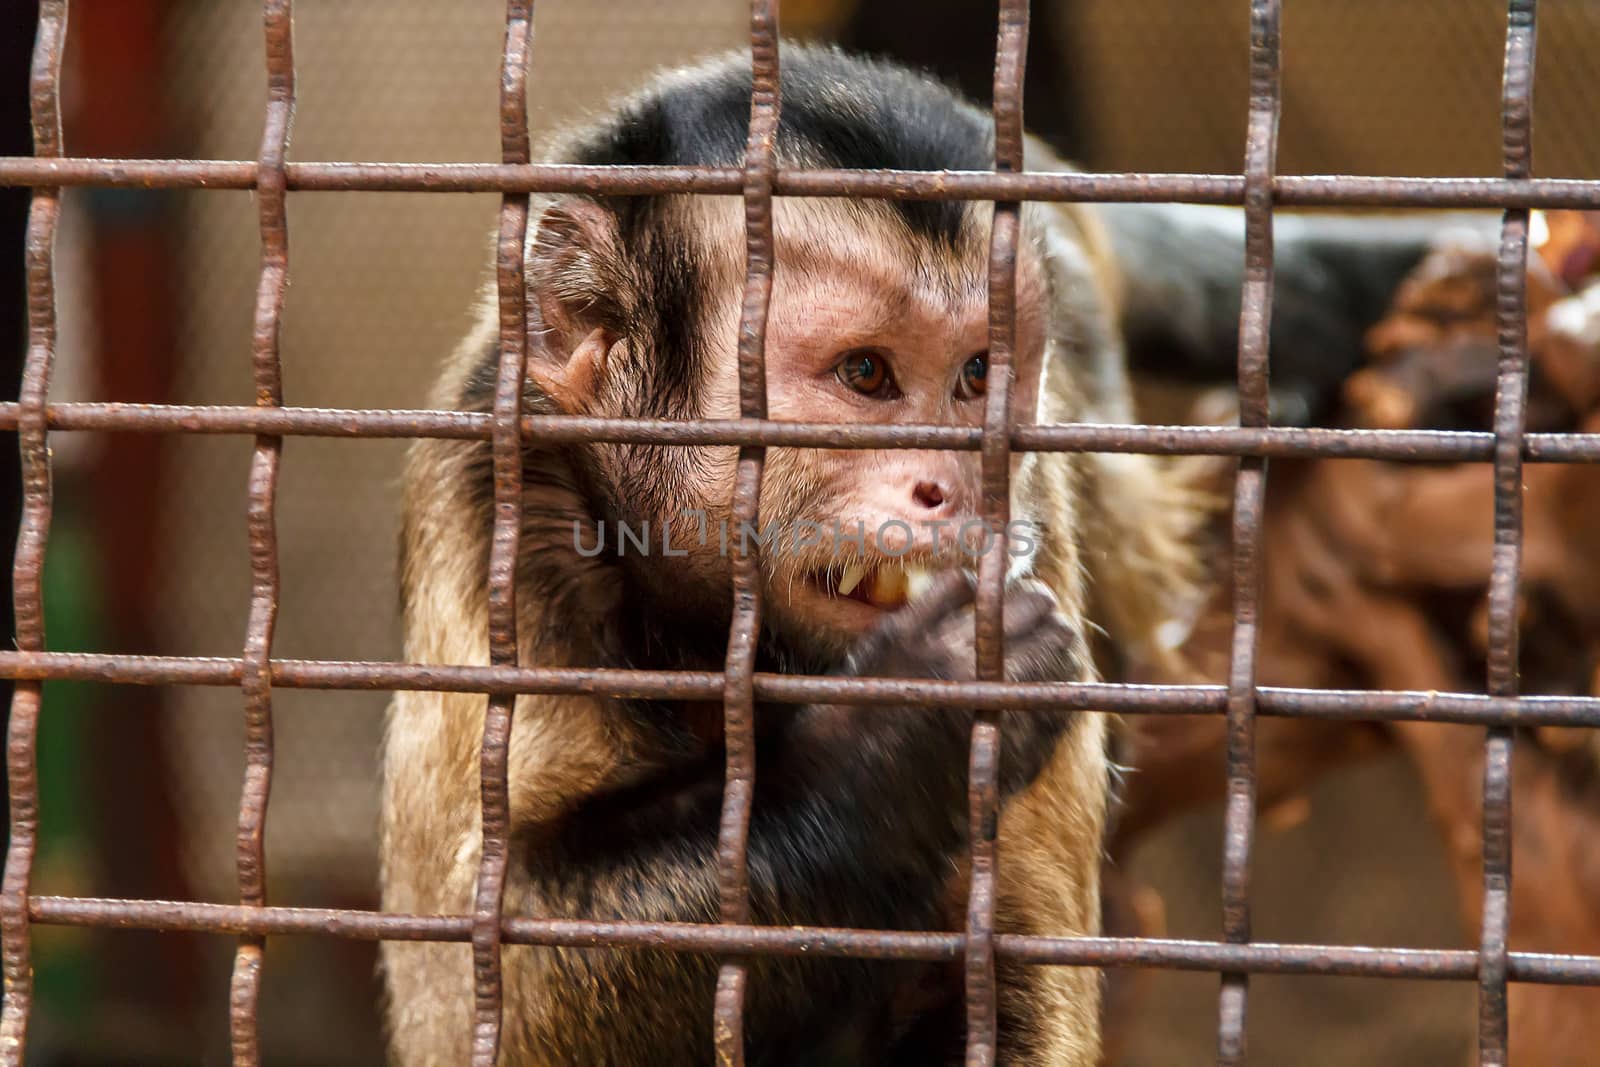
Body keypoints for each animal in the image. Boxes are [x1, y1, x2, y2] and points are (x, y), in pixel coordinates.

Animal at [374, 43, 1472, 1067]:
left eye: (978, 376)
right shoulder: (503, 508)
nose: (954, 485)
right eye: (866, 374)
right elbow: (479, 976)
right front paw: (907, 731)